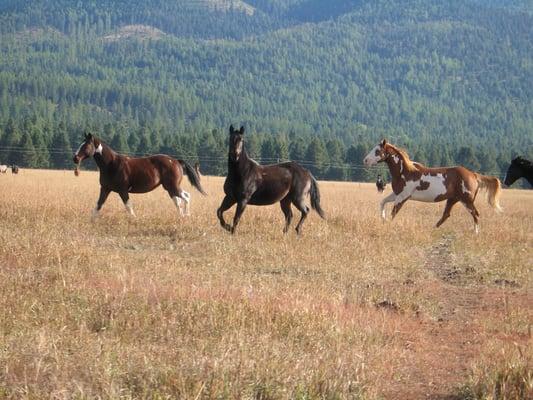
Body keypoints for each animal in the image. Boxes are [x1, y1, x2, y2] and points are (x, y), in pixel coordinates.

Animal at [74, 133, 206, 220]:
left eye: (85, 146)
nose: (75, 158)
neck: (111, 164)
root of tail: (176, 161)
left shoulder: (122, 190)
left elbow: (128, 206)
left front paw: (134, 219)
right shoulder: (105, 189)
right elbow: (98, 205)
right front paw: (91, 220)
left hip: (172, 186)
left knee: (186, 197)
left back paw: (186, 215)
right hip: (169, 188)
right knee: (178, 201)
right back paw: (181, 216)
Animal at [362, 140, 498, 234]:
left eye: (377, 151)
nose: (365, 160)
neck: (404, 171)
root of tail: (473, 175)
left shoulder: (403, 197)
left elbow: (394, 212)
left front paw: (388, 224)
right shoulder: (396, 194)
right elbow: (382, 202)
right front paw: (383, 219)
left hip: (466, 200)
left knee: (475, 214)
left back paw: (475, 232)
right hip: (453, 199)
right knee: (446, 215)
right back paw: (432, 229)